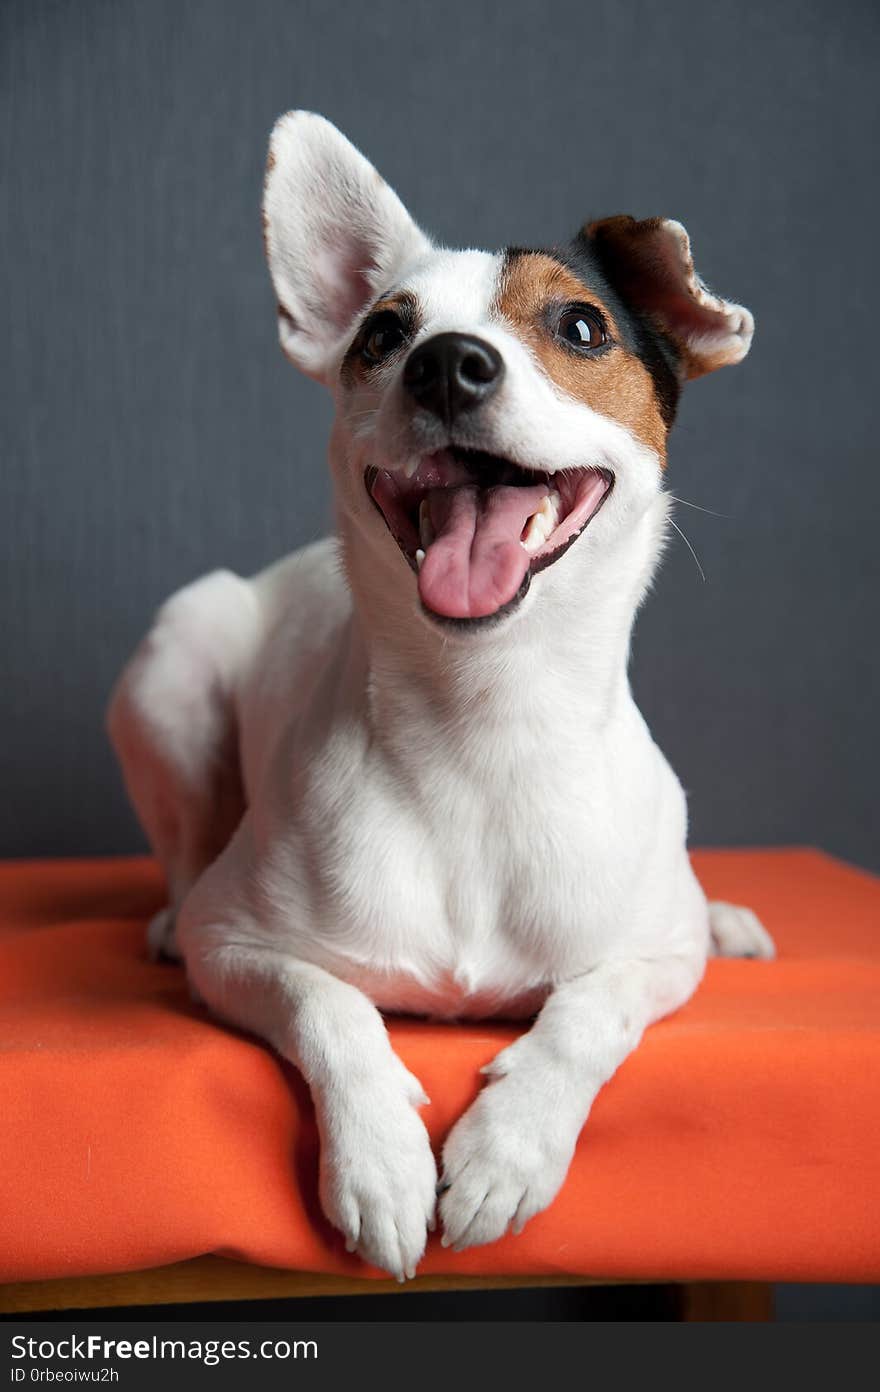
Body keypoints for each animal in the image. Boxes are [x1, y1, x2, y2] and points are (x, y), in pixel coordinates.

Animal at [106, 111, 774, 1280]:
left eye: (582, 325)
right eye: (382, 334)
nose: (446, 365)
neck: (484, 723)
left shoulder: (656, 955)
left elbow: (591, 1009)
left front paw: (511, 1145)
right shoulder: (241, 948)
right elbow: (330, 1005)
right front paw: (378, 1159)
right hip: (175, 664)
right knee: (186, 862)